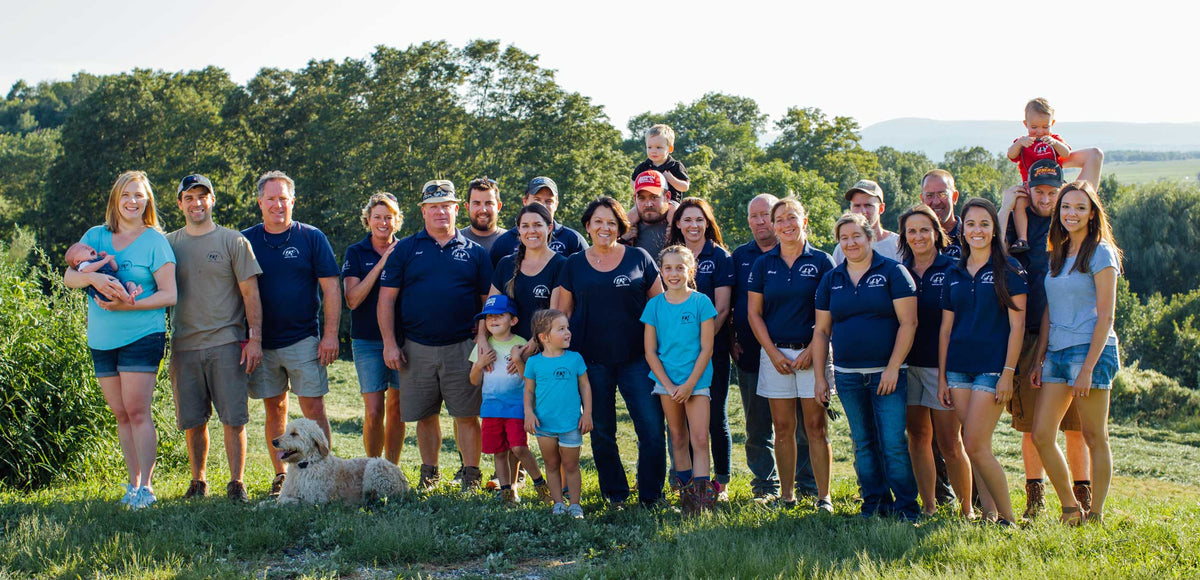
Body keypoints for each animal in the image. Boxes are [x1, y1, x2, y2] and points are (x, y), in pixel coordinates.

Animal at [271, 417, 410, 504]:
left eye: (294, 434)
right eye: (286, 431)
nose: (274, 441)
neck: (305, 464)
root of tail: (404, 481)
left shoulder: (316, 499)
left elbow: (289, 502)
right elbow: (277, 501)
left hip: (375, 466)